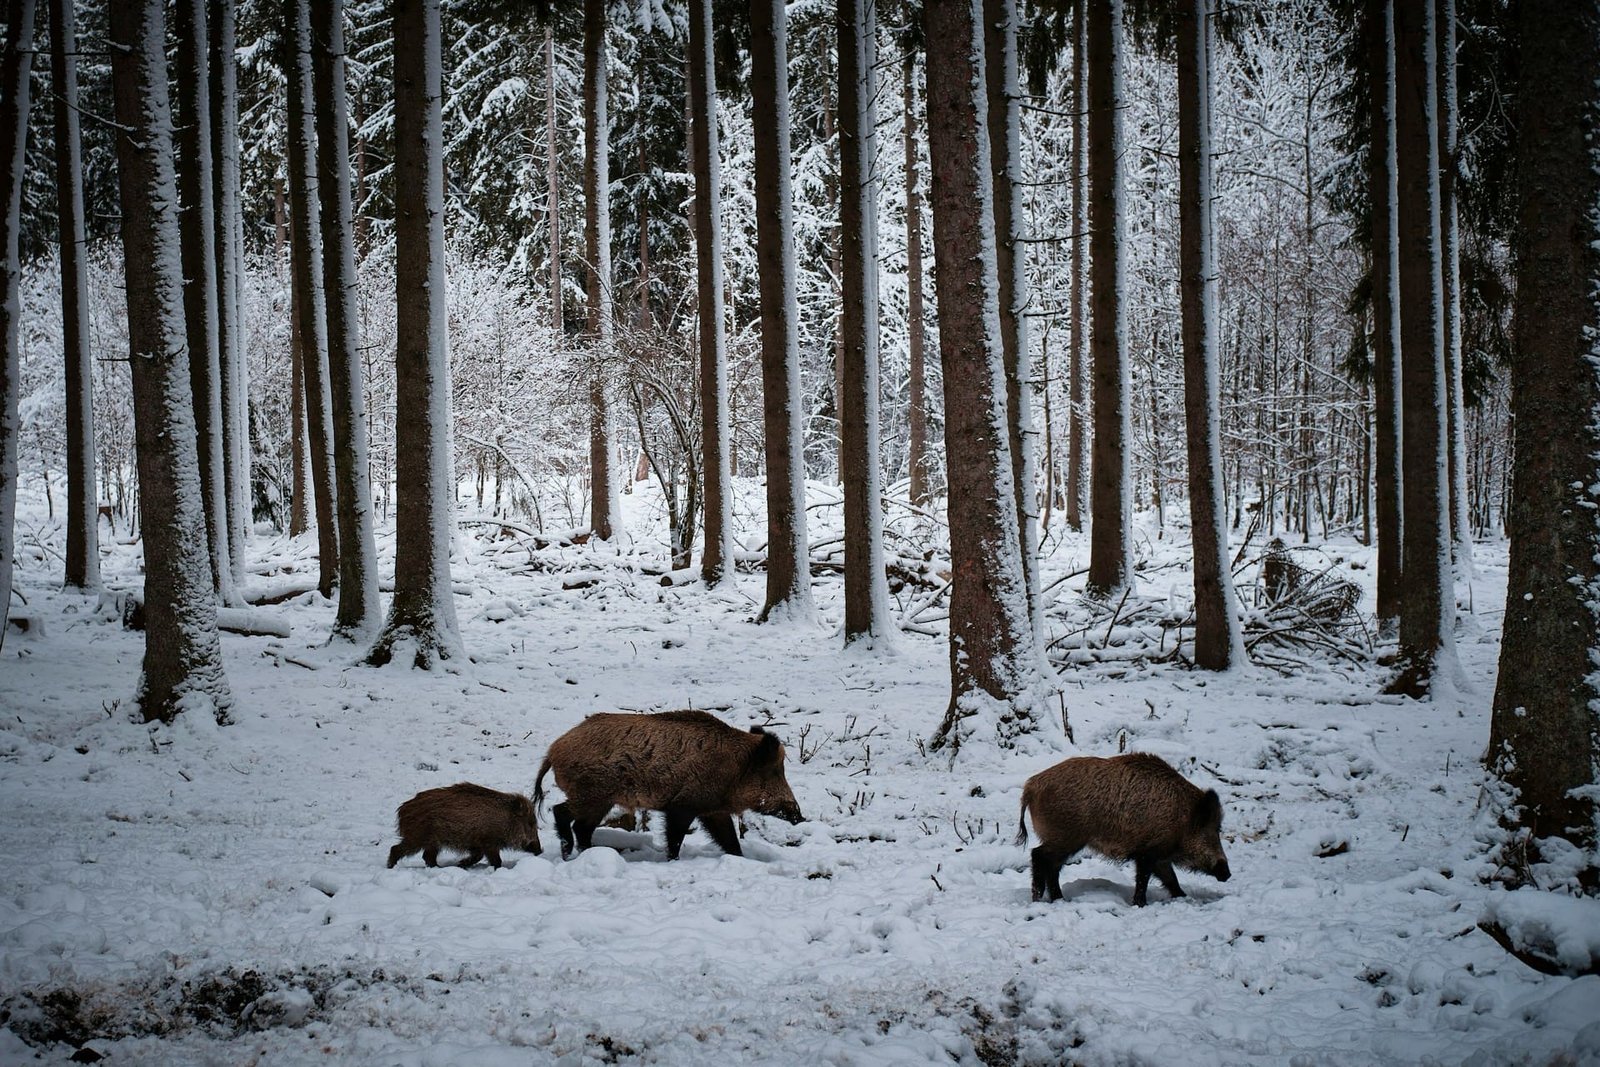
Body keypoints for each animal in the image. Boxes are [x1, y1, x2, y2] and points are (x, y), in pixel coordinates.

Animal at [386, 782, 542, 869]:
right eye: (531, 823)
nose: (540, 850)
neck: (505, 820)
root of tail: (402, 810)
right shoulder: (488, 843)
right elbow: (496, 860)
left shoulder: (477, 845)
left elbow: (479, 856)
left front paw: (461, 864)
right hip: (417, 838)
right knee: (396, 849)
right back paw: (390, 867)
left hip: (432, 842)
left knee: (428, 857)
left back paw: (439, 868)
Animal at [532, 710, 804, 860]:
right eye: (774, 772)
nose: (800, 817)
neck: (734, 768)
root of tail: (553, 751)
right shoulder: (682, 806)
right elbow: (675, 838)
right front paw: (672, 860)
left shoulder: (713, 810)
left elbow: (729, 839)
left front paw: (740, 858)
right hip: (591, 794)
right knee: (561, 812)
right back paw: (568, 853)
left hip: (600, 801)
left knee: (582, 827)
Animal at [1015, 753, 1231, 906]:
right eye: (1215, 829)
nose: (1228, 874)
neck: (1182, 820)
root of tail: (1030, 787)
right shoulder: (1147, 852)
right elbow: (1144, 879)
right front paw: (1140, 904)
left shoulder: (1159, 855)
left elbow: (1171, 878)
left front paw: (1182, 897)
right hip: (1066, 836)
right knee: (1039, 856)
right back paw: (1041, 899)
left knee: (1052, 865)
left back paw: (1058, 899)